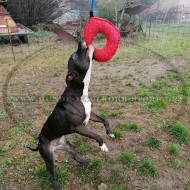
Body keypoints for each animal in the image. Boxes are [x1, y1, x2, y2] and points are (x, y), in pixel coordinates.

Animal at [27, 40, 114, 189]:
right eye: (74, 56)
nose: (80, 41)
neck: (79, 91)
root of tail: (39, 142)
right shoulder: (79, 127)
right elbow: (97, 135)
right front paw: (102, 145)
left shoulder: (89, 115)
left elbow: (105, 120)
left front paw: (110, 133)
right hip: (49, 158)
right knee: (52, 174)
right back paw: (56, 186)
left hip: (67, 146)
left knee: (74, 155)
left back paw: (85, 162)